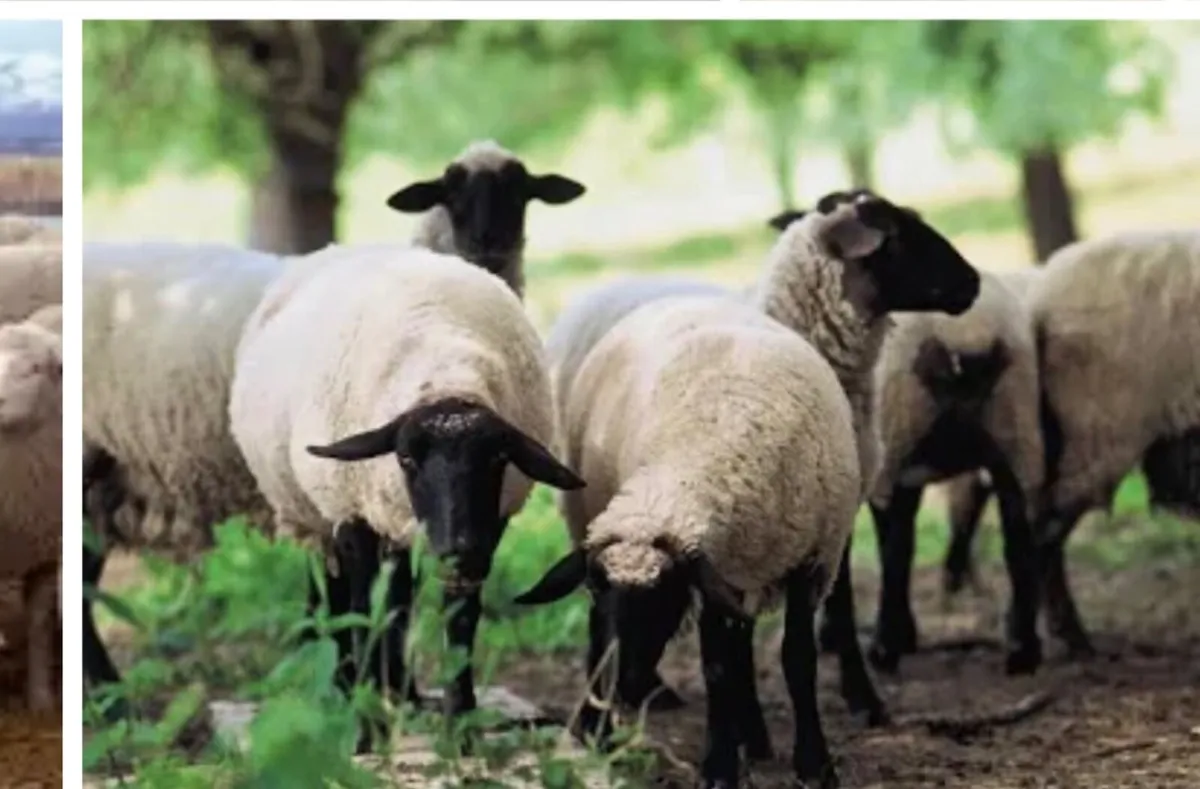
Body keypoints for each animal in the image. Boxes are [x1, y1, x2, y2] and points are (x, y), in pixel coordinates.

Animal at [228, 244, 584, 733]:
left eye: (497, 459)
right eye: (406, 459)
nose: (458, 550)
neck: (444, 371)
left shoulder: (489, 526)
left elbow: (457, 619)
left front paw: (459, 719)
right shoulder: (353, 517)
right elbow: (362, 611)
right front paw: (365, 722)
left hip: (399, 526)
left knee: (398, 599)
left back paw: (403, 694)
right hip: (322, 514)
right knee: (338, 596)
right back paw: (347, 688)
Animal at [518, 292, 868, 789]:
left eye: (665, 596)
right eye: (598, 589)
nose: (626, 685)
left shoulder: (811, 562)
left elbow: (796, 661)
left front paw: (813, 764)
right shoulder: (716, 571)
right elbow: (717, 668)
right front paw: (720, 766)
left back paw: (752, 738)